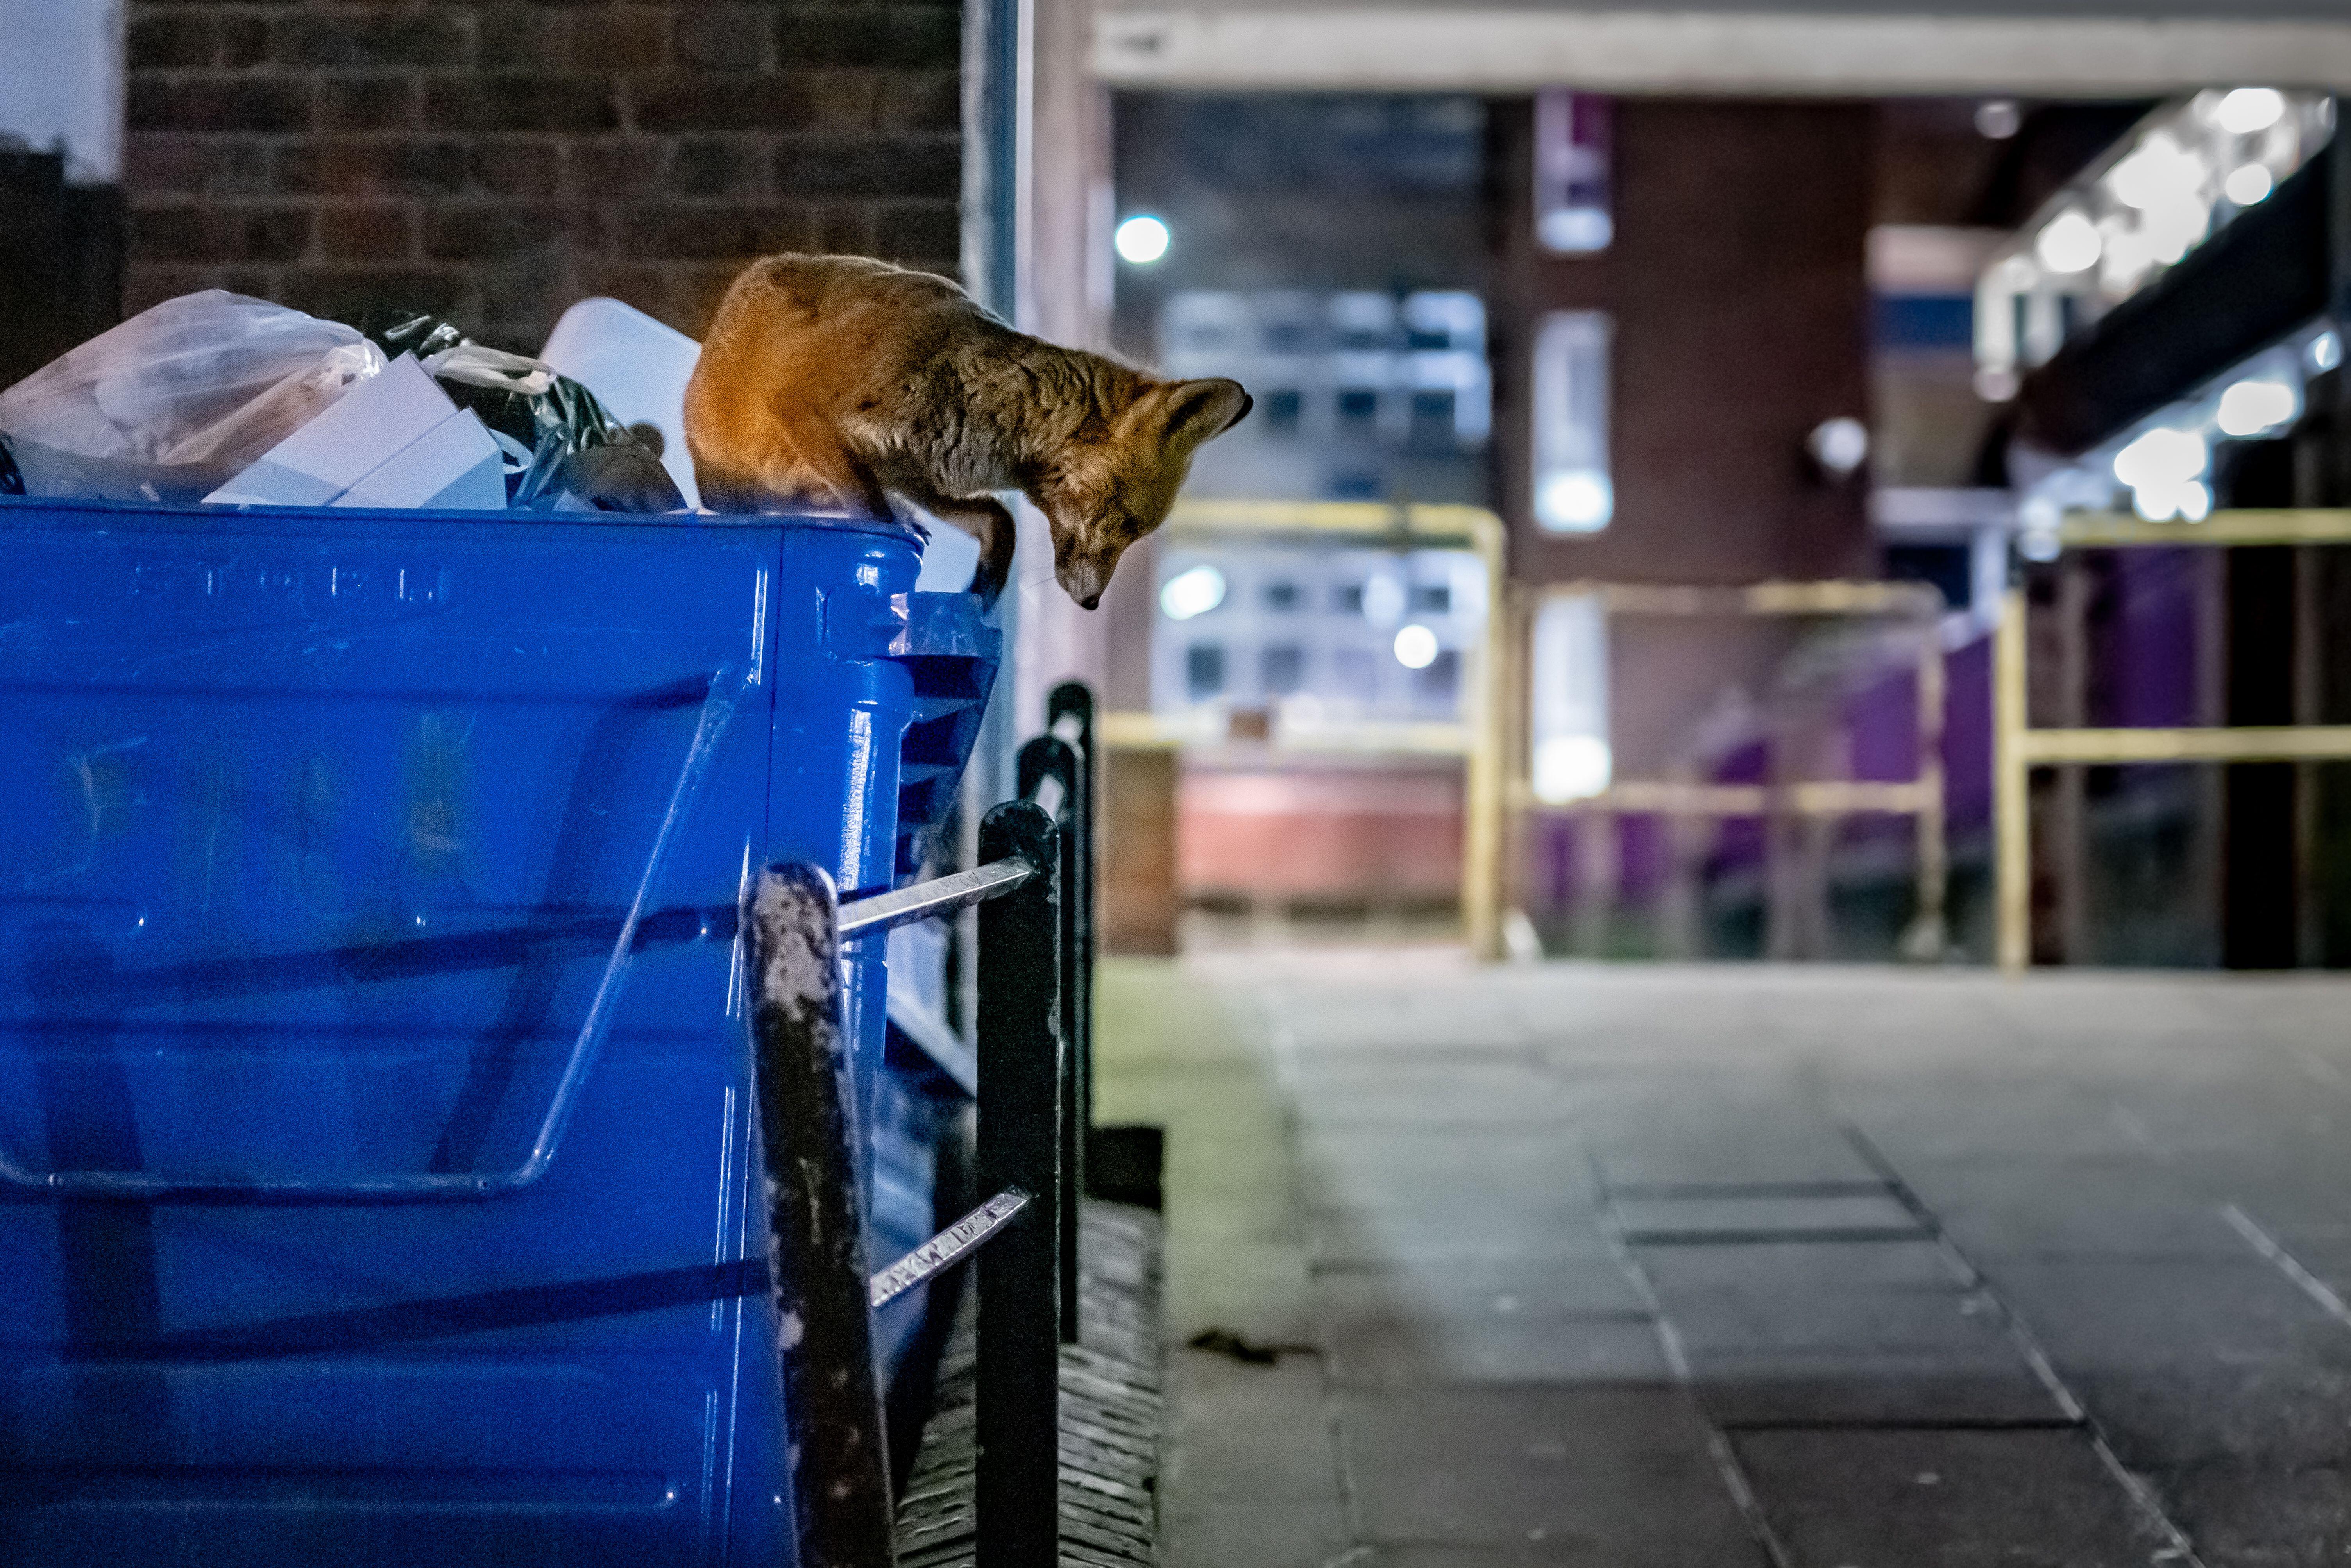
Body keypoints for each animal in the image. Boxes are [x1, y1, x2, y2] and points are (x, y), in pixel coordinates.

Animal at [682, 255, 1251, 611]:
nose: (1091, 604)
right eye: (1128, 524)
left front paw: (984, 588)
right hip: (741, 474)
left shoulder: (918, 472)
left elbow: (1001, 520)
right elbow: (874, 512)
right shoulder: (802, 406)